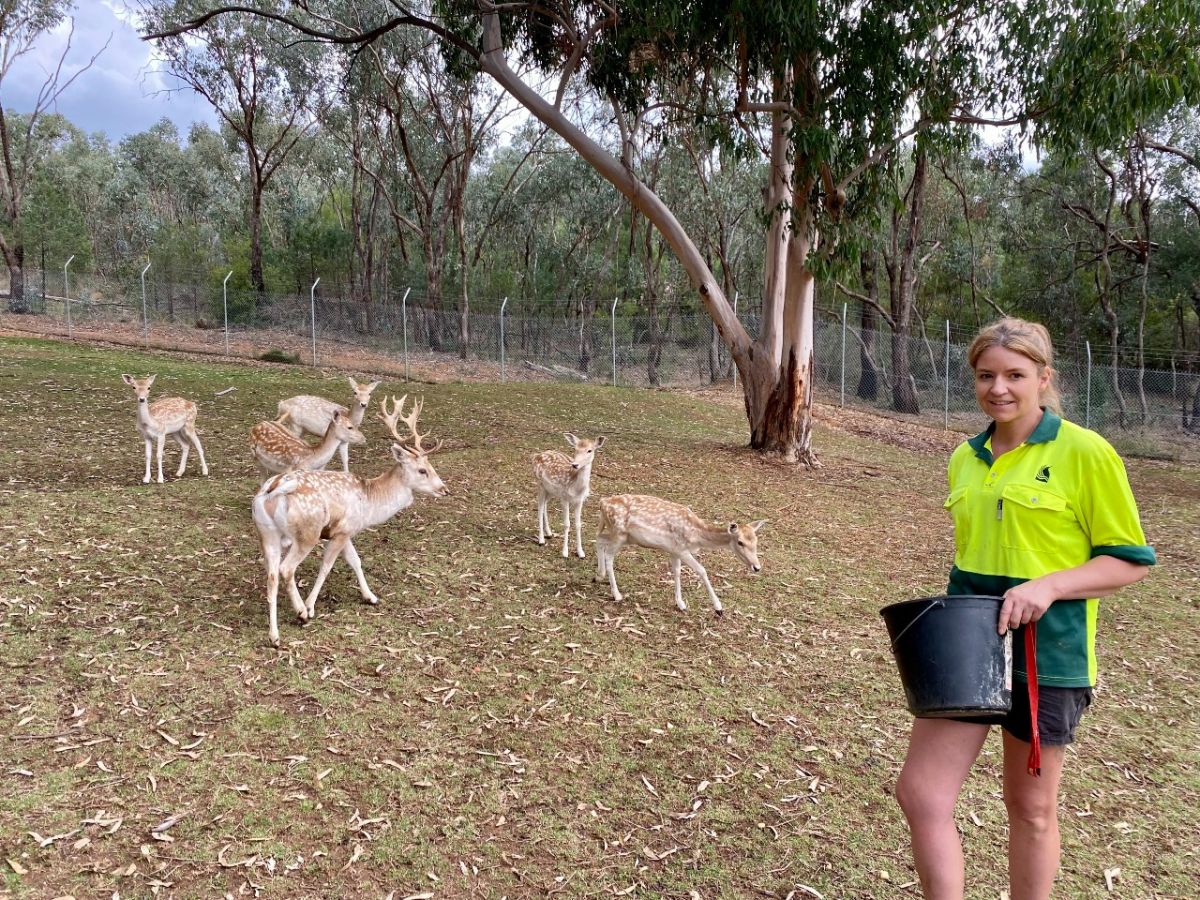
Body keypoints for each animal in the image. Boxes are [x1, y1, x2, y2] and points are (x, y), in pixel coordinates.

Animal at [250, 393, 448, 648]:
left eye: (431, 467)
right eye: (422, 470)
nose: (444, 489)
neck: (370, 501)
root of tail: (272, 489)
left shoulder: (346, 531)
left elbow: (356, 561)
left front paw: (371, 597)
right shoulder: (343, 530)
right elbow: (327, 566)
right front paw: (311, 607)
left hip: (267, 533)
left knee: (272, 575)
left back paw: (274, 636)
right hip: (307, 532)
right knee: (286, 569)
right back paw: (301, 612)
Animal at [592, 496, 768, 619]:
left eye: (756, 541)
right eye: (740, 542)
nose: (757, 567)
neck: (697, 536)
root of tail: (602, 502)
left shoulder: (674, 550)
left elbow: (676, 572)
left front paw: (681, 604)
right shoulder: (682, 549)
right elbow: (702, 570)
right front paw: (718, 608)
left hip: (624, 537)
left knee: (599, 539)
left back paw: (598, 576)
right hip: (619, 533)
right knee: (609, 555)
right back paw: (616, 595)